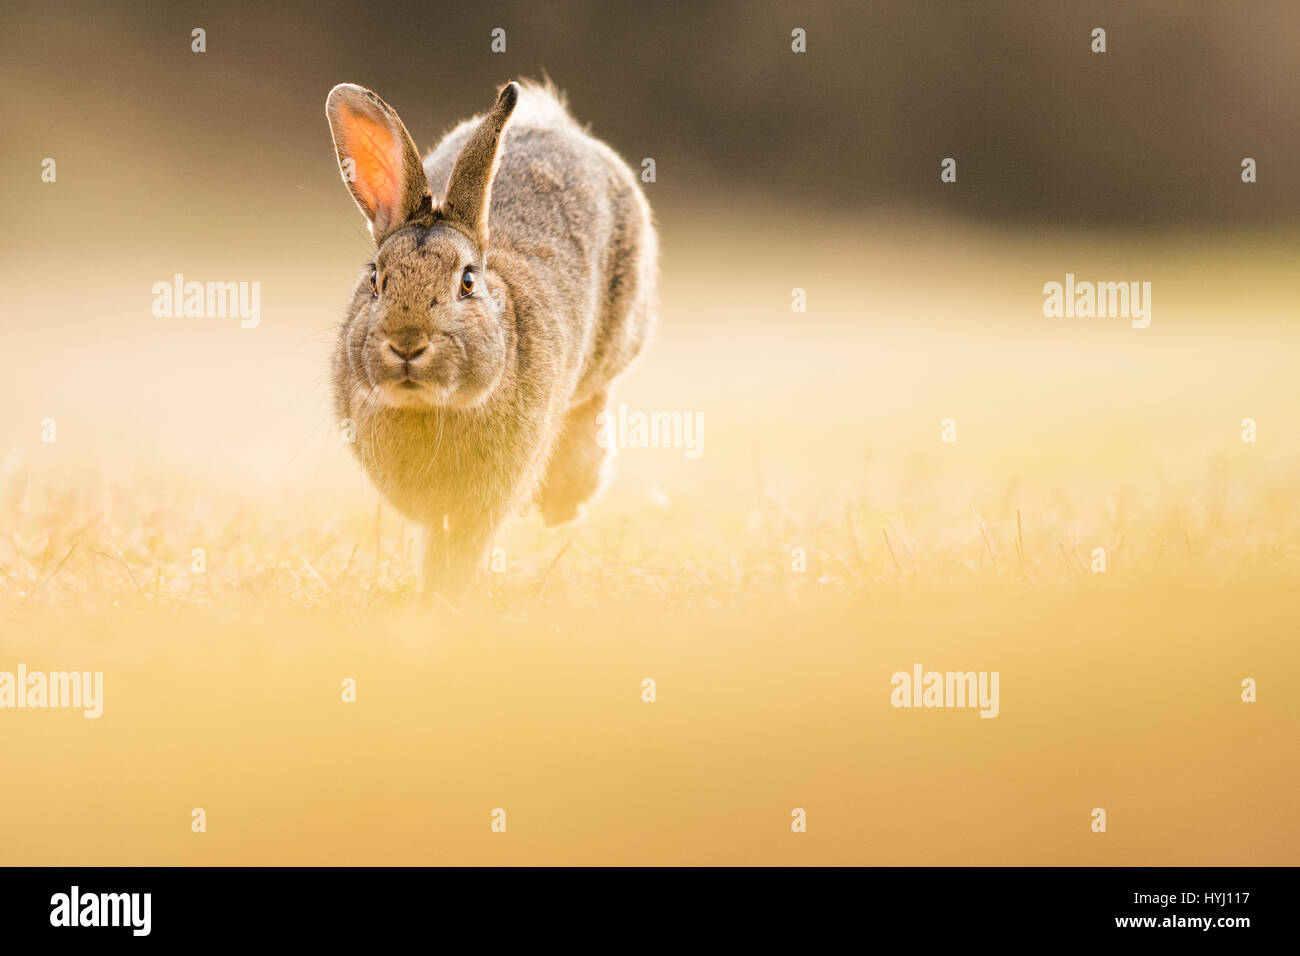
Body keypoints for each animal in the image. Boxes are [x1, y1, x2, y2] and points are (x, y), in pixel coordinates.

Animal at [325, 80, 657, 602]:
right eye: (375, 280)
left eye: (466, 281)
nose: (406, 344)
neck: (432, 408)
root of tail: (553, 121)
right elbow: (435, 539)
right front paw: (432, 595)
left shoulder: (491, 494)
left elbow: (466, 543)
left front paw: (448, 596)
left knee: (592, 400)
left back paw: (566, 499)